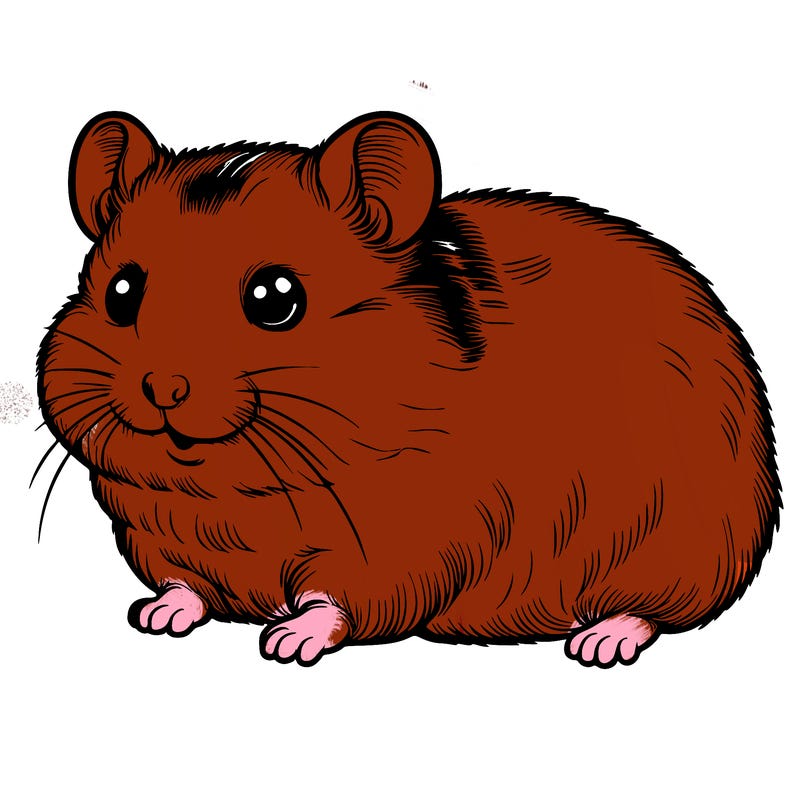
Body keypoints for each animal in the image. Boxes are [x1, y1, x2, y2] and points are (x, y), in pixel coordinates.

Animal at [37, 110, 780, 667]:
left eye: (276, 297)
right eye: (121, 291)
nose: (162, 387)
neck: (241, 497)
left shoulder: (405, 547)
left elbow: (337, 602)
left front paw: (285, 642)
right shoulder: (156, 537)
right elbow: (184, 586)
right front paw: (153, 616)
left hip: (684, 550)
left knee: (658, 610)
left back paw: (599, 642)